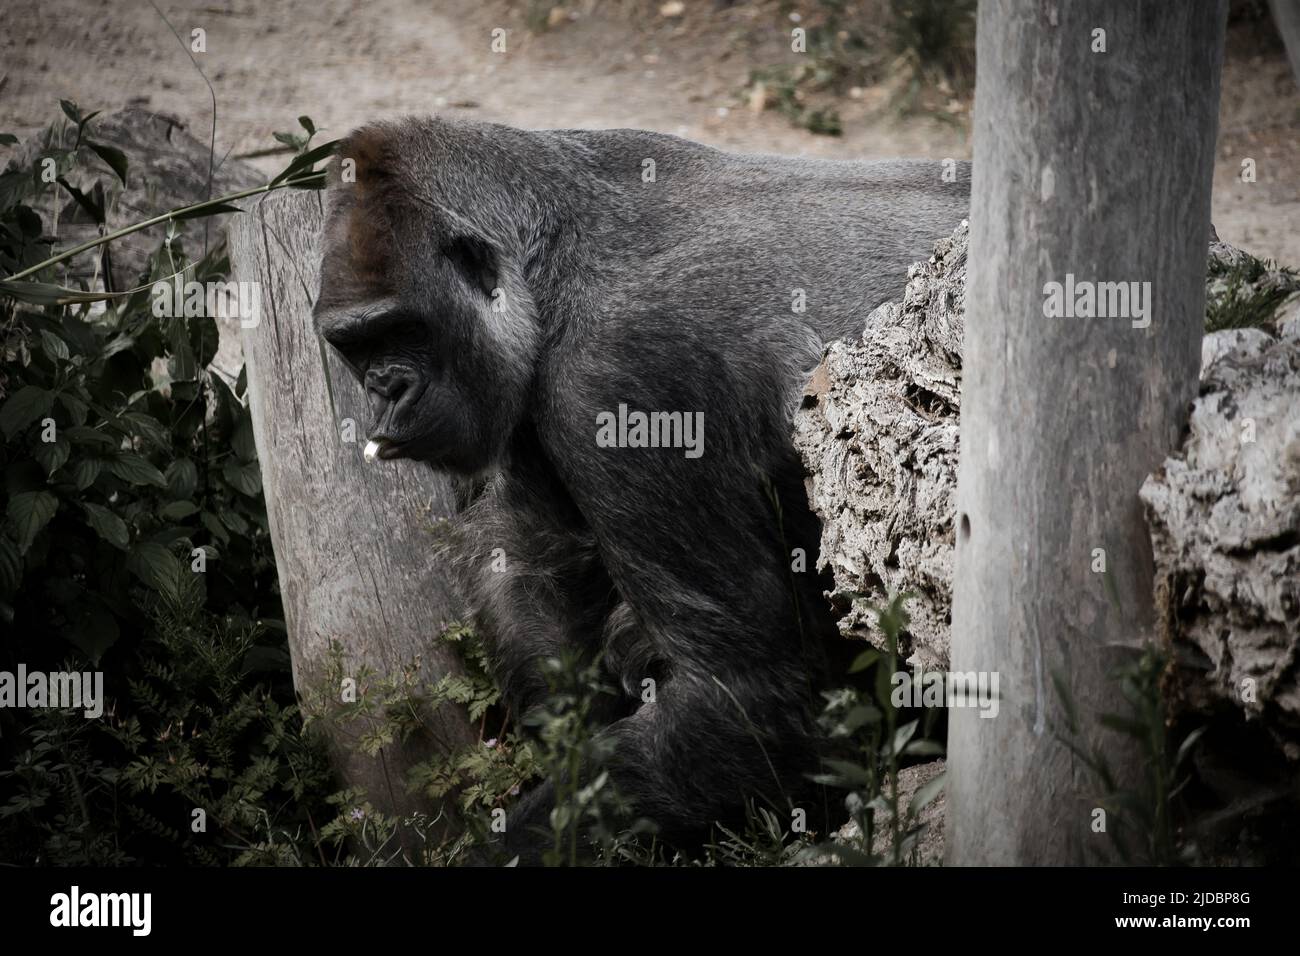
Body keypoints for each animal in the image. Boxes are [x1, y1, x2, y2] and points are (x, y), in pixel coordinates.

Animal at [314, 115, 967, 863]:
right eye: (354, 346)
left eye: (403, 329)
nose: (385, 390)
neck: (551, 257)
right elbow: (539, 578)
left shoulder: (625, 375)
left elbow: (744, 699)